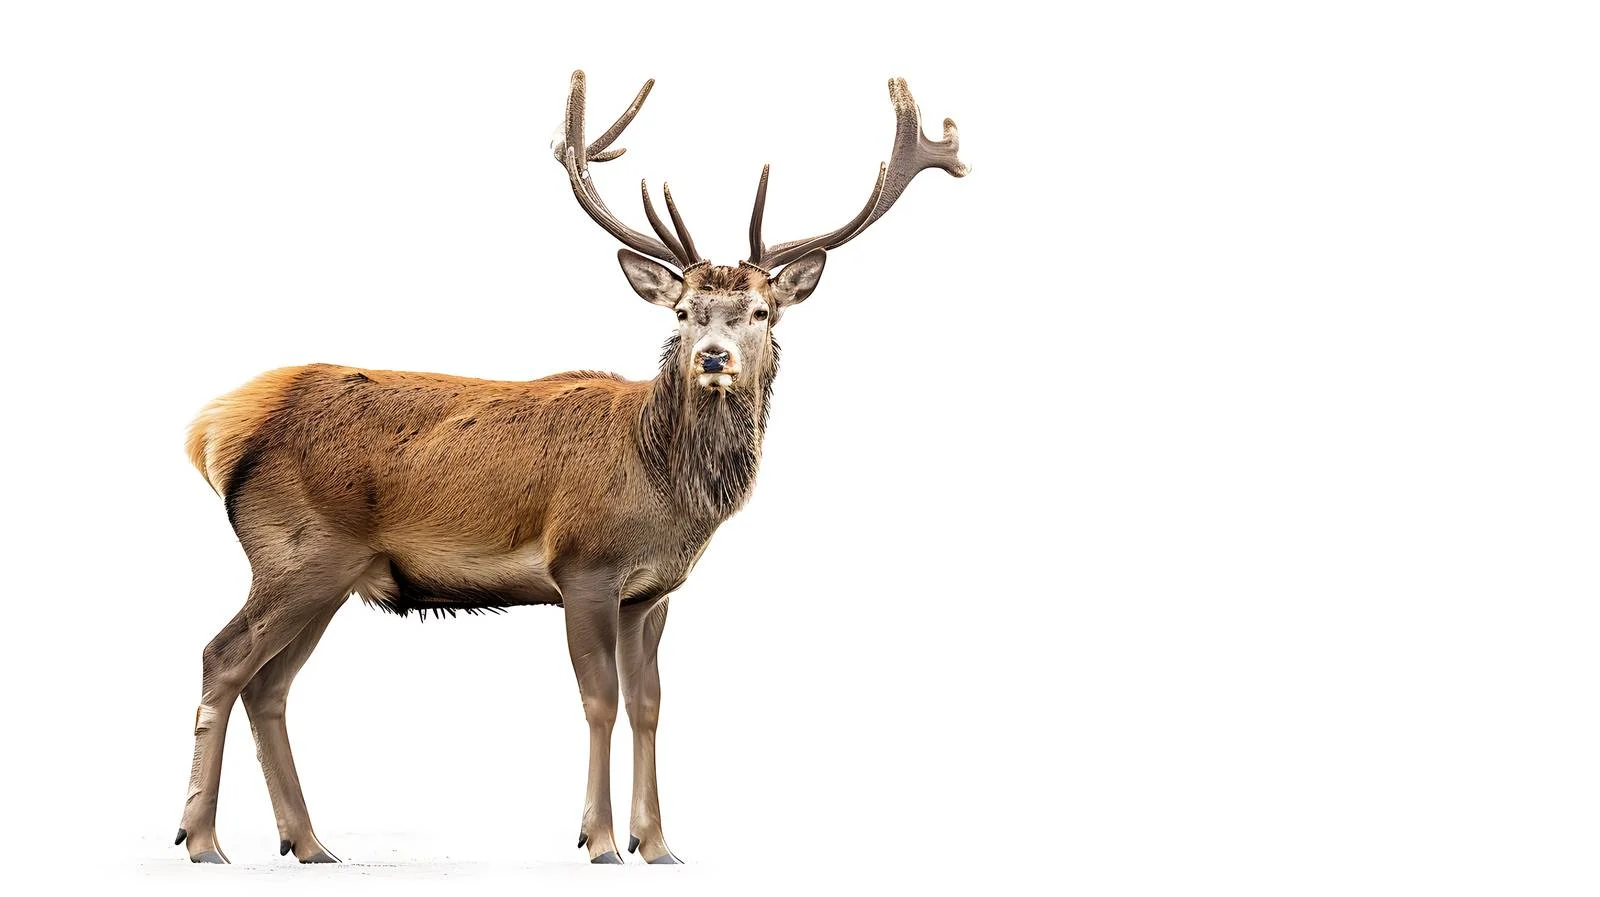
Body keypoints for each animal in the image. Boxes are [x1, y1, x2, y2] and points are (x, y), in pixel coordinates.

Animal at [174, 70, 966, 866]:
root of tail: (216, 429)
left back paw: (309, 844)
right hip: (297, 551)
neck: (665, 490)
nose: (714, 357)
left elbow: (649, 703)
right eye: (683, 312)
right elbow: (600, 699)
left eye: (762, 311)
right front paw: (602, 839)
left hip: (332, 573)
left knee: (268, 684)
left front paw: (659, 844)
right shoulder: (583, 565)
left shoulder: (651, 591)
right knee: (222, 657)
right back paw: (203, 839)